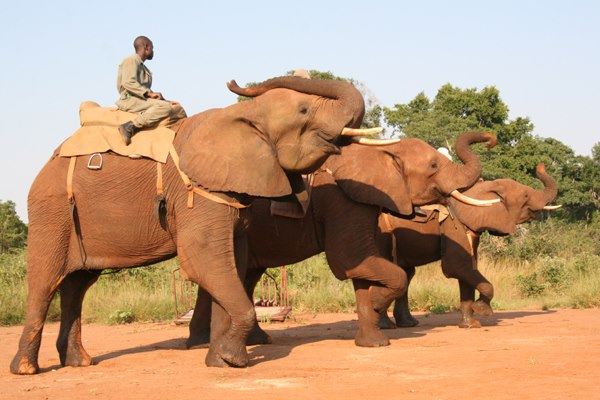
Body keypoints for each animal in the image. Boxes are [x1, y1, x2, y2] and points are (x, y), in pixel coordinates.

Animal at [10, 76, 376, 376]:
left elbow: (232, 263)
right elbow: (203, 261)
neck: (240, 115)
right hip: (51, 211)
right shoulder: (197, 193)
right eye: (304, 111)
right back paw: (27, 369)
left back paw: (79, 362)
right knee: (46, 282)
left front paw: (220, 362)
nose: (234, 80)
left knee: (78, 285)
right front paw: (233, 360)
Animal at [188, 132, 496, 350]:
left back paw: (233, 342)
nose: (491, 139)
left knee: (244, 277)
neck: (378, 150)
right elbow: (351, 261)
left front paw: (374, 343)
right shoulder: (342, 198)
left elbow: (361, 265)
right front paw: (377, 304)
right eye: (433, 165)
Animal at [378, 162, 560, 328]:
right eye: (525, 196)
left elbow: (469, 268)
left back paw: (408, 324)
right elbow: (457, 266)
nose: (541, 165)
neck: (481, 190)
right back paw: (386, 326)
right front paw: (482, 310)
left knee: (406, 273)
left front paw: (470, 325)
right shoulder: (452, 224)